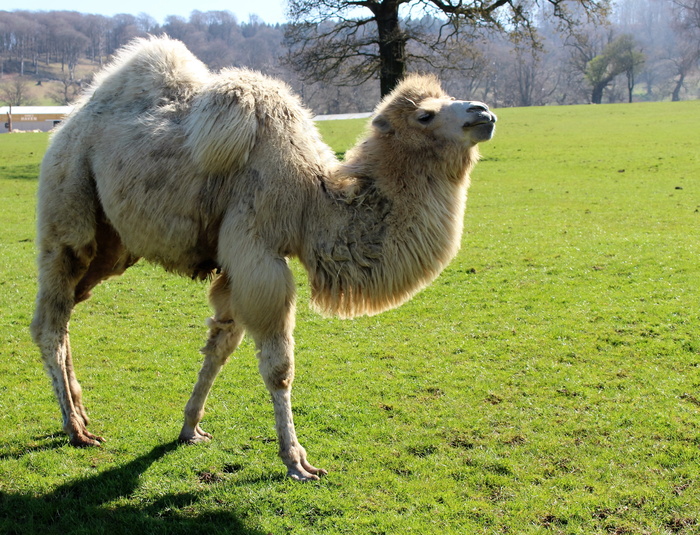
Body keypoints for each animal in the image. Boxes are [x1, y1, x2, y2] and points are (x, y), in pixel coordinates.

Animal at [30, 36, 494, 482]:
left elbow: (221, 345)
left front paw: (190, 428)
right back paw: (75, 428)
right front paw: (297, 462)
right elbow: (278, 367)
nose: (484, 111)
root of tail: (66, 126)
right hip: (67, 207)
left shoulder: (237, 267)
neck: (311, 199)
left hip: (112, 246)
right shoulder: (257, 254)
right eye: (425, 116)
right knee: (50, 321)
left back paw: (81, 412)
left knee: (69, 310)